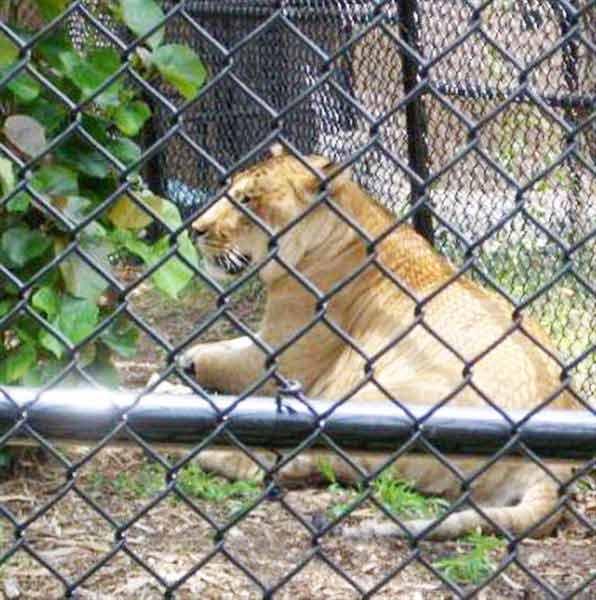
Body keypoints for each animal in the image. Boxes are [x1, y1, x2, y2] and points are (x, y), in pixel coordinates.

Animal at [183, 144, 576, 540]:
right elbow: (220, 346)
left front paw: (183, 374)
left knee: (289, 464)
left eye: (248, 200)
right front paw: (188, 358)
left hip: (367, 402)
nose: (194, 229)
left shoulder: (282, 362)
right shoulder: (265, 339)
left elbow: (220, 363)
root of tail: (553, 471)